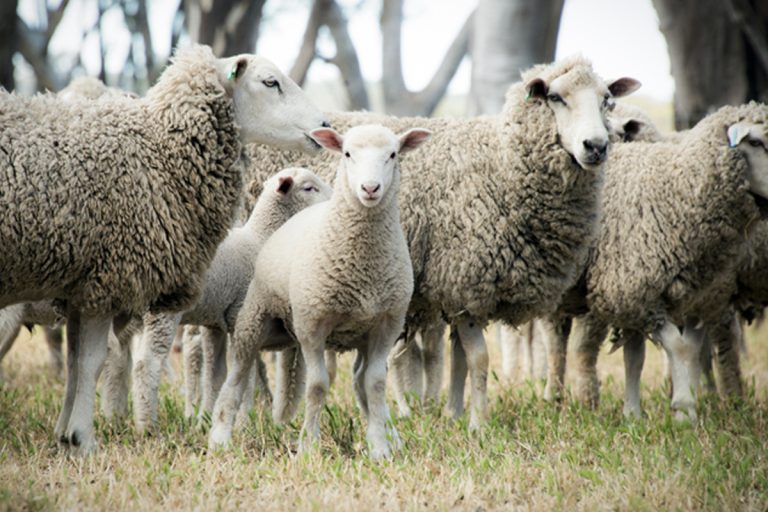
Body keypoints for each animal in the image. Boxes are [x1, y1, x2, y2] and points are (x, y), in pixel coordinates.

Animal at [124, 167, 332, 431]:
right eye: (309, 188)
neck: (261, 237)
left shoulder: (216, 323)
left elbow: (216, 375)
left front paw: (205, 420)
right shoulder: (242, 316)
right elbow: (247, 373)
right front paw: (244, 421)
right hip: (163, 311)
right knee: (146, 364)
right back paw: (147, 426)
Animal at [209, 124, 431, 459]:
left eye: (393, 154)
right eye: (347, 154)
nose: (370, 188)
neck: (364, 261)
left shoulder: (386, 324)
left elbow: (376, 384)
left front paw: (380, 446)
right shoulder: (312, 325)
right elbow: (317, 386)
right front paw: (308, 446)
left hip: (359, 335)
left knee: (360, 380)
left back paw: (389, 433)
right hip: (255, 318)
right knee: (237, 374)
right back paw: (219, 437)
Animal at [237, 56, 640, 429]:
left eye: (607, 100)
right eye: (556, 97)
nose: (596, 146)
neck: (501, 163)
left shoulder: (458, 291)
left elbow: (458, 360)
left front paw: (455, 414)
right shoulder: (466, 279)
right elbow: (478, 359)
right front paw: (478, 424)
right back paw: (251, 407)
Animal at [541, 103, 768, 421]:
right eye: (756, 142)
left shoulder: (675, 295)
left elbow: (642, 354)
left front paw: (637, 412)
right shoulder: (625, 289)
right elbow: (671, 348)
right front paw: (681, 409)